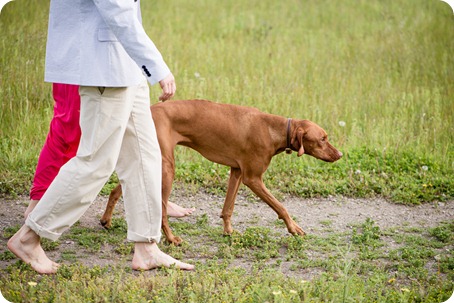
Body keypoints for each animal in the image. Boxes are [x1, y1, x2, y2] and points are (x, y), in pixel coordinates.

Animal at [99, 100, 340, 245]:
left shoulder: (237, 172)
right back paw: (171, 238)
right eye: (322, 139)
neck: (274, 130)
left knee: (117, 190)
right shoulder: (253, 179)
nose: (339, 154)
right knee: (163, 209)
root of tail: (148, 109)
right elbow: (280, 206)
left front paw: (228, 231)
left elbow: (228, 208)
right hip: (166, 168)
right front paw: (294, 228)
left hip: (154, 162)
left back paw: (106, 221)